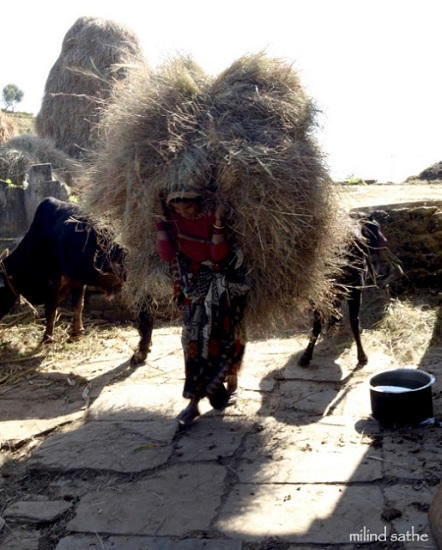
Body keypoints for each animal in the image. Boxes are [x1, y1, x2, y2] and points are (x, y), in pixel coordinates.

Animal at [0, 198, 154, 366]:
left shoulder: (52, 282)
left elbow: (51, 311)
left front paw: (46, 339)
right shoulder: (77, 280)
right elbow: (78, 306)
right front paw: (76, 333)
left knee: (145, 311)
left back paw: (141, 353)